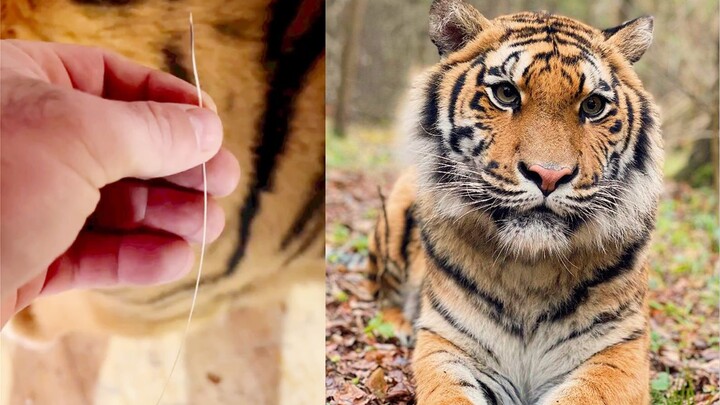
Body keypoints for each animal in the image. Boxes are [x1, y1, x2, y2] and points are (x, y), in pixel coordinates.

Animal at [368, 0, 664, 404]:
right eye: (506, 94)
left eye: (593, 105)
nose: (549, 175)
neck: (530, 271)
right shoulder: (447, 342)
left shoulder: (620, 349)